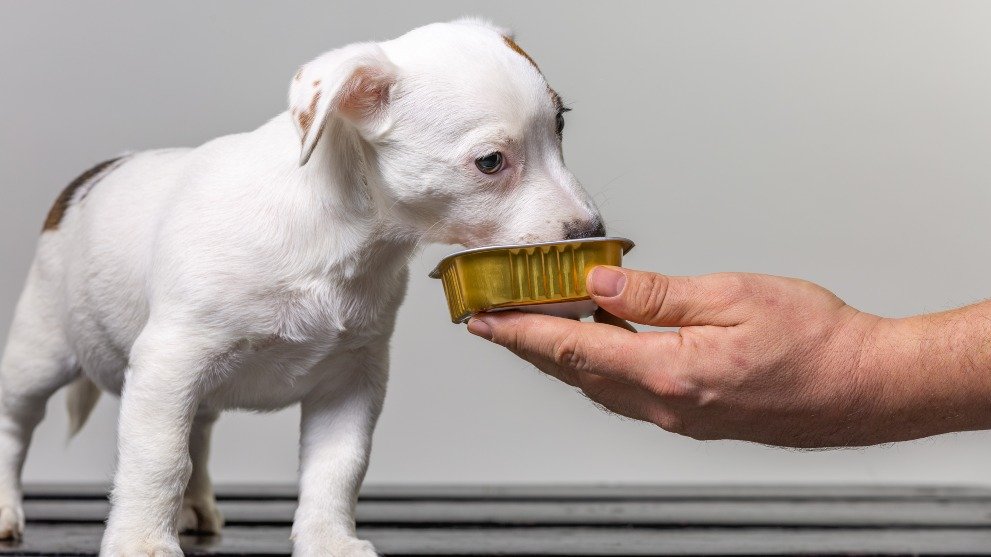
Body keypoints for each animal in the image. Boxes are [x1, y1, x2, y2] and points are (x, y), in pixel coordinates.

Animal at [0, 18, 604, 556]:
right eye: (490, 162)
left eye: (561, 126)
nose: (591, 231)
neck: (341, 232)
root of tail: (85, 181)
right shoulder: (169, 363)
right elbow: (158, 458)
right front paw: (142, 543)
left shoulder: (351, 381)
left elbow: (337, 468)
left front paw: (328, 542)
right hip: (41, 351)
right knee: (16, 423)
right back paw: (8, 508)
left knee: (198, 434)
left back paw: (195, 506)